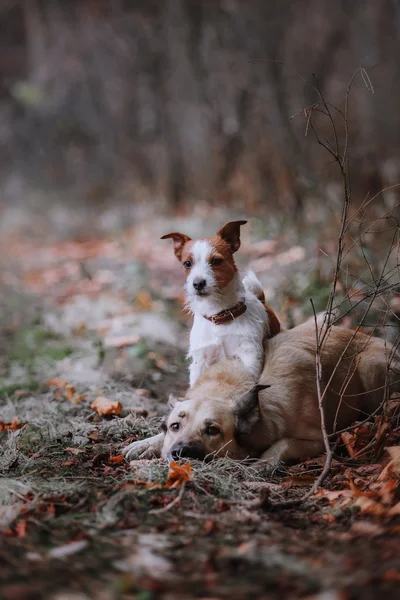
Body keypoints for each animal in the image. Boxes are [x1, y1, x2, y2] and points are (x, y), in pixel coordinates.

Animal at [123, 324, 398, 468]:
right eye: (175, 426)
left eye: (212, 430)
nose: (180, 453)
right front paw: (147, 444)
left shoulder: (320, 440)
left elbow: (282, 444)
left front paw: (262, 464)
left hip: (368, 366)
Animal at [159, 223, 278, 386]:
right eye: (187, 263)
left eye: (216, 261)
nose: (198, 283)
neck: (219, 315)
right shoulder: (201, 359)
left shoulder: (249, 357)